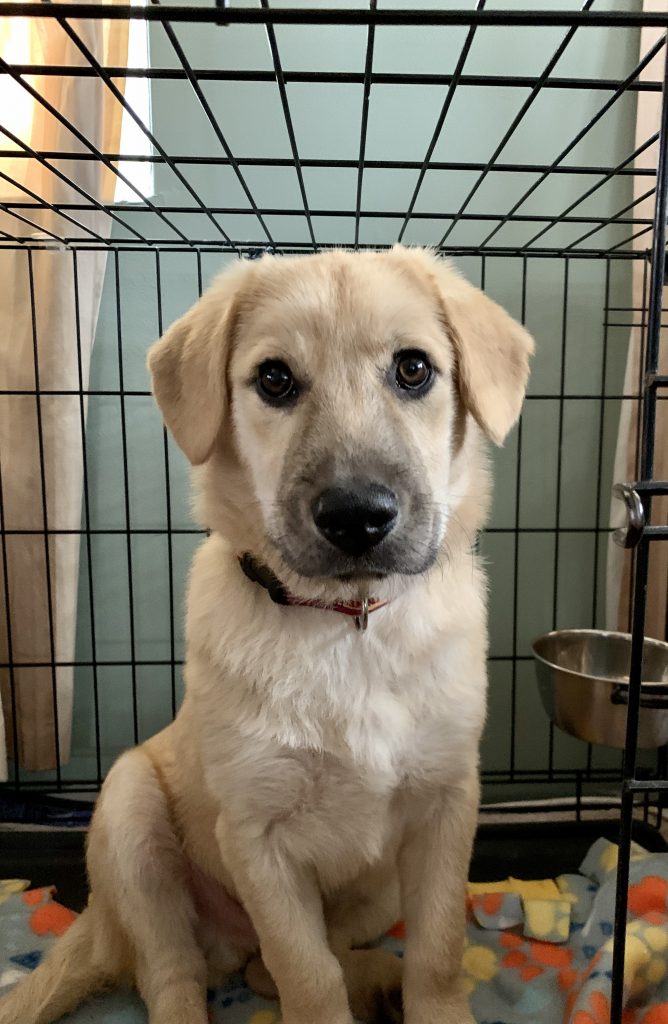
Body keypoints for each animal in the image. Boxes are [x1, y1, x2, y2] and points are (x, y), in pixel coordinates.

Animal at [0, 245, 532, 1024]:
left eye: (413, 369)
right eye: (274, 379)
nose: (356, 517)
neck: (349, 626)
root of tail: (98, 925)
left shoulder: (446, 807)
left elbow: (436, 953)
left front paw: (431, 1005)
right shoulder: (257, 838)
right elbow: (306, 975)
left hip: (378, 894)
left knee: (263, 971)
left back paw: (380, 978)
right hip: (130, 819)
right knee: (177, 977)